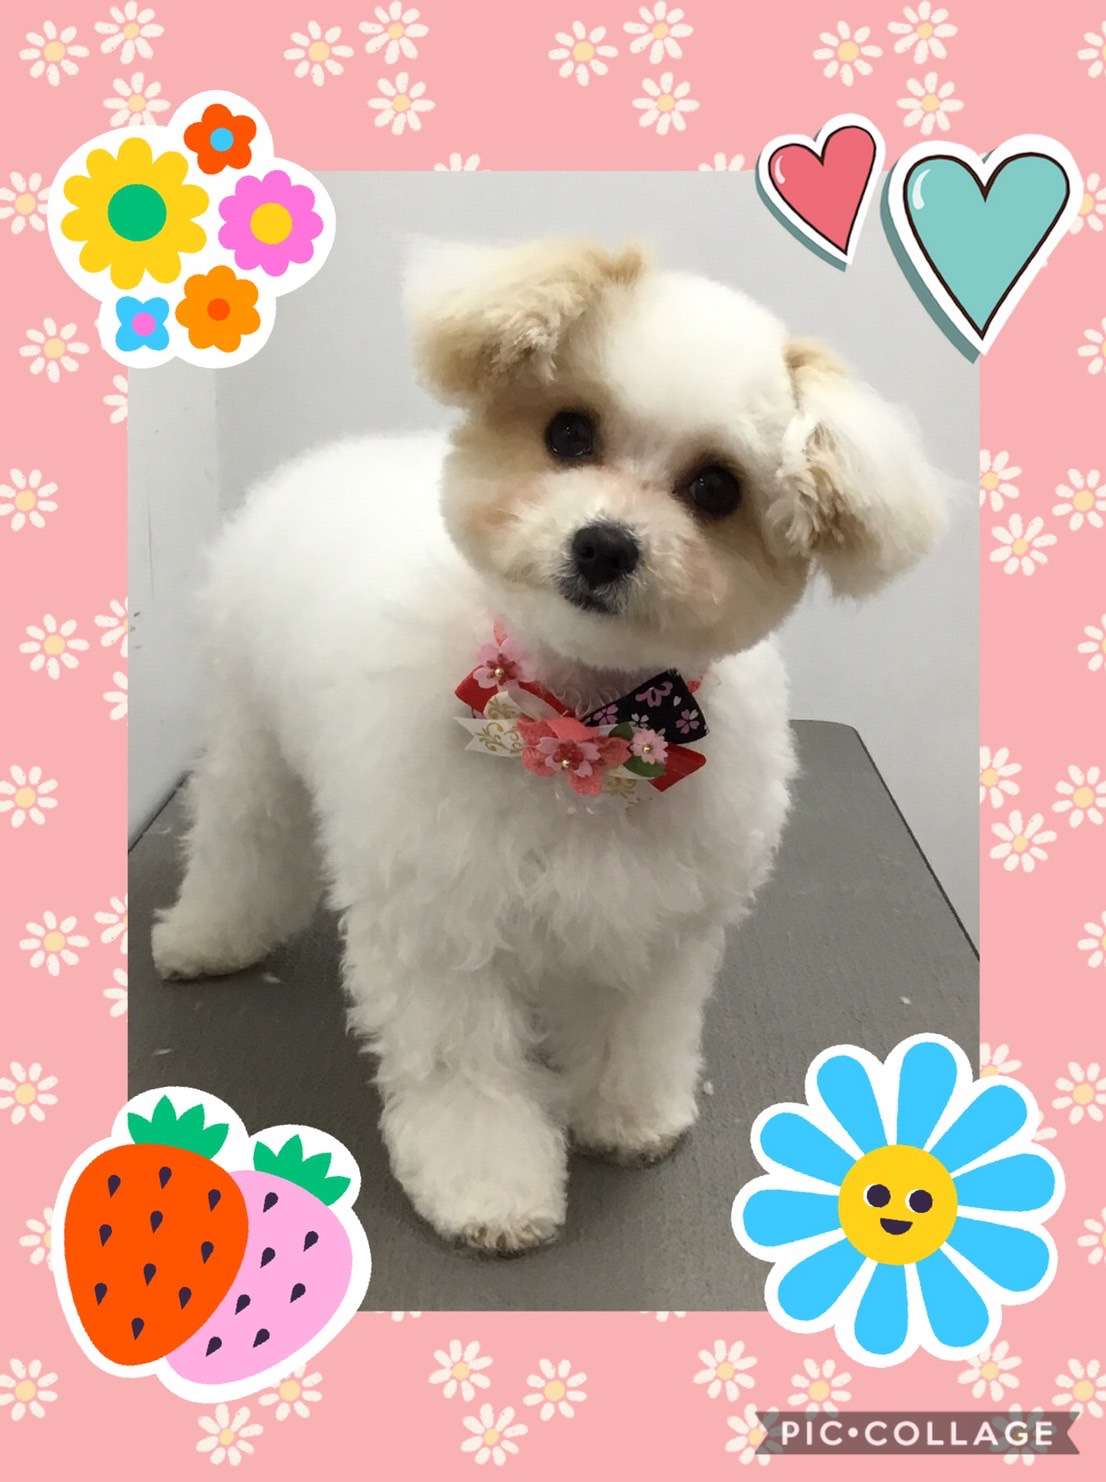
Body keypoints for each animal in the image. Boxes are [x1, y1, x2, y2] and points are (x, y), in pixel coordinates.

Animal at [152, 239, 946, 1253]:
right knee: (243, 844)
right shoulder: (441, 925)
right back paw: (206, 936)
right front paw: (487, 1189)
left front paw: (629, 1116)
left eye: (717, 488)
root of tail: (336, 458)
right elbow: (464, 1070)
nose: (604, 544)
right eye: (569, 434)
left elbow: (633, 1033)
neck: (584, 726)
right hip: (253, 740)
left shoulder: (654, 923)